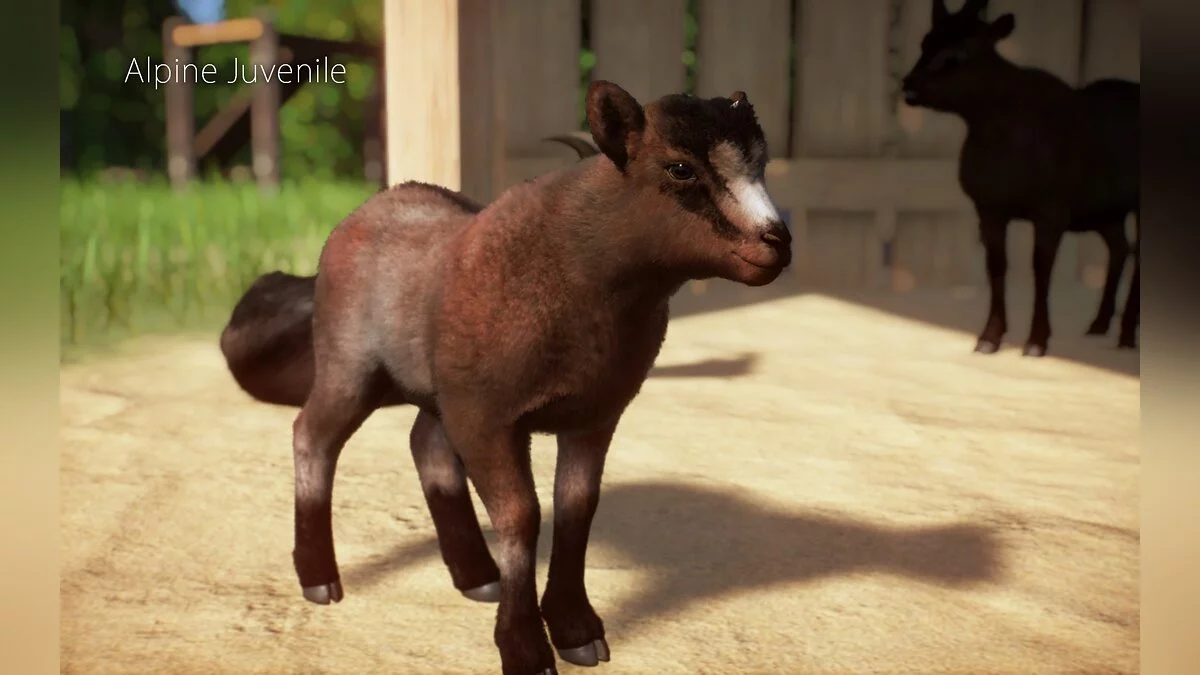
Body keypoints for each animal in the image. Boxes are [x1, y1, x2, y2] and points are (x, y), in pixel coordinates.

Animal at [224, 81, 790, 675]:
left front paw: (576, 630)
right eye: (680, 168)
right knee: (313, 437)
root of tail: (364, 212)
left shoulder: (592, 417)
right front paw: (525, 649)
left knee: (426, 445)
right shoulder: (490, 420)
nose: (776, 242)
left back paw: (476, 576)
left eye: (761, 163)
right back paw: (319, 580)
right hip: (350, 367)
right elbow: (522, 516)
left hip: (441, 392)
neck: (583, 274)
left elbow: (576, 510)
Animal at [901, 0, 1139, 356]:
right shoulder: (988, 207)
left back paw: (1126, 335)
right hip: (1106, 211)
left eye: (965, 48)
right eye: (926, 41)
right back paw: (1098, 324)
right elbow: (997, 265)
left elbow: (1041, 267)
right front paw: (989, 337)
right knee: (1121, 246)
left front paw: (1037, 340)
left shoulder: (1052, 208)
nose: (910, 84)